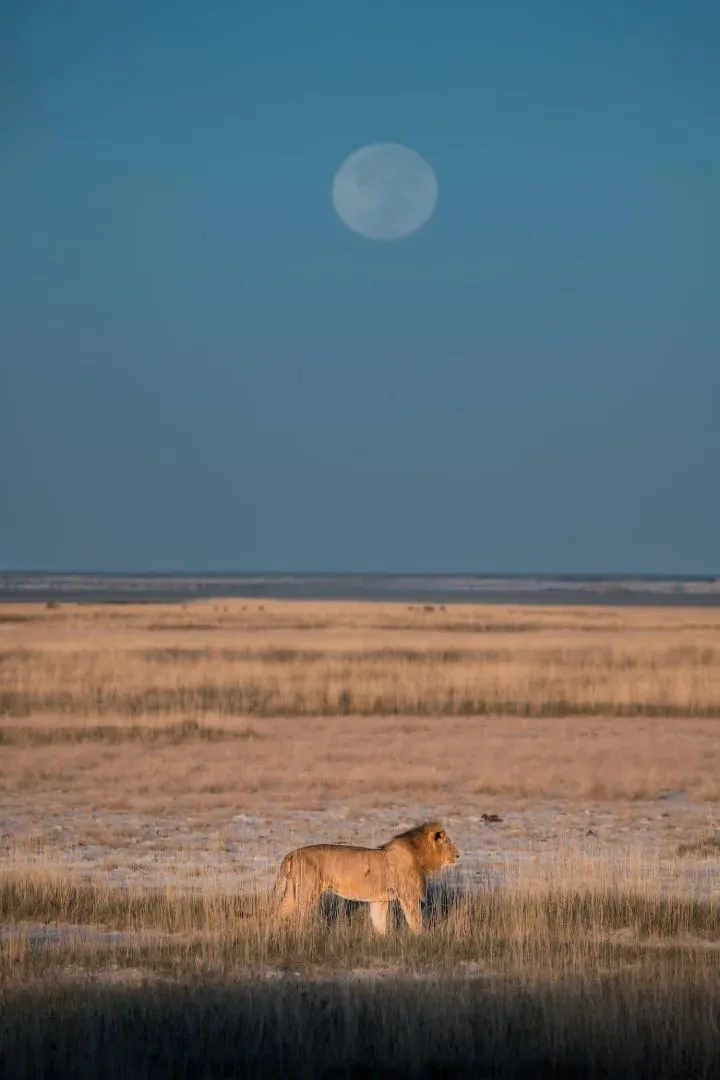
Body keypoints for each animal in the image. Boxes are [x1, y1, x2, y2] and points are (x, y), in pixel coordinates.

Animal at [271, 821, 460, 934]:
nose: (458, 855)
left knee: (277, 914)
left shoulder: (379, 899)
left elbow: (379, 923)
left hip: (291, 893)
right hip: (307, 893)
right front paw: (420, 938)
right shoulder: (408, 895)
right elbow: (415, 920)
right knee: (298, 917)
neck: (418, 854)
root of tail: (291, 854)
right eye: (448, 843)